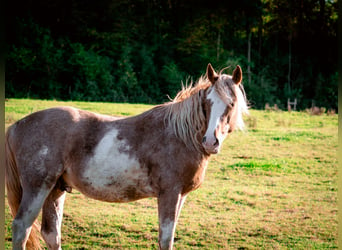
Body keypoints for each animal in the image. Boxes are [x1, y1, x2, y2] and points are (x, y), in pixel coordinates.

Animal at [5, 64, 248, 250]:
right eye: (207, 104)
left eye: (231, 104)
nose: (210, 142)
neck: (179, 135)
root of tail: (17, 126)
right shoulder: (169, 194)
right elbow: (165, 240)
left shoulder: (181, 196)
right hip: (38, 188)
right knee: (22, 228)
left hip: (55, 190)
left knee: (51, 234)